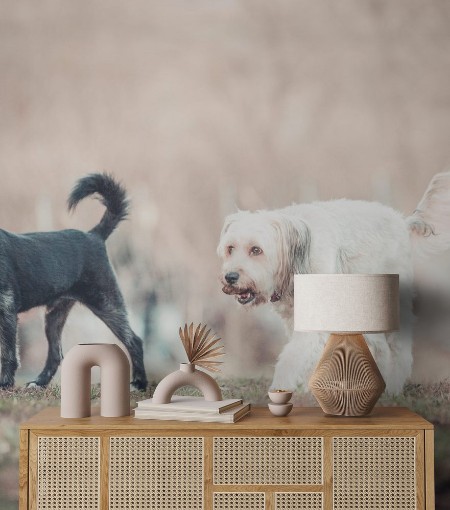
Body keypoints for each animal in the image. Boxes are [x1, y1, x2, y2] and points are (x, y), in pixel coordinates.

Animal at [0, 173, 148, 388]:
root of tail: (94, 235)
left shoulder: (7, 310)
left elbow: (8, 353)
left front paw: (4, 384)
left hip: (107, 303)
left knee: (134, 341)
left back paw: (139, 383)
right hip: (54, 316)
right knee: (55, 354)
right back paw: (39, 382)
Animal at [218, 172, 450, 394]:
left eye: (256, 250)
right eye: (230, 248)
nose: (230, 277)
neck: (297, 258)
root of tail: (403, 222)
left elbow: (292, 355)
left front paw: (282, 386)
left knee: (398, 349)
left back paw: (393, 387)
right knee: (380, 347)